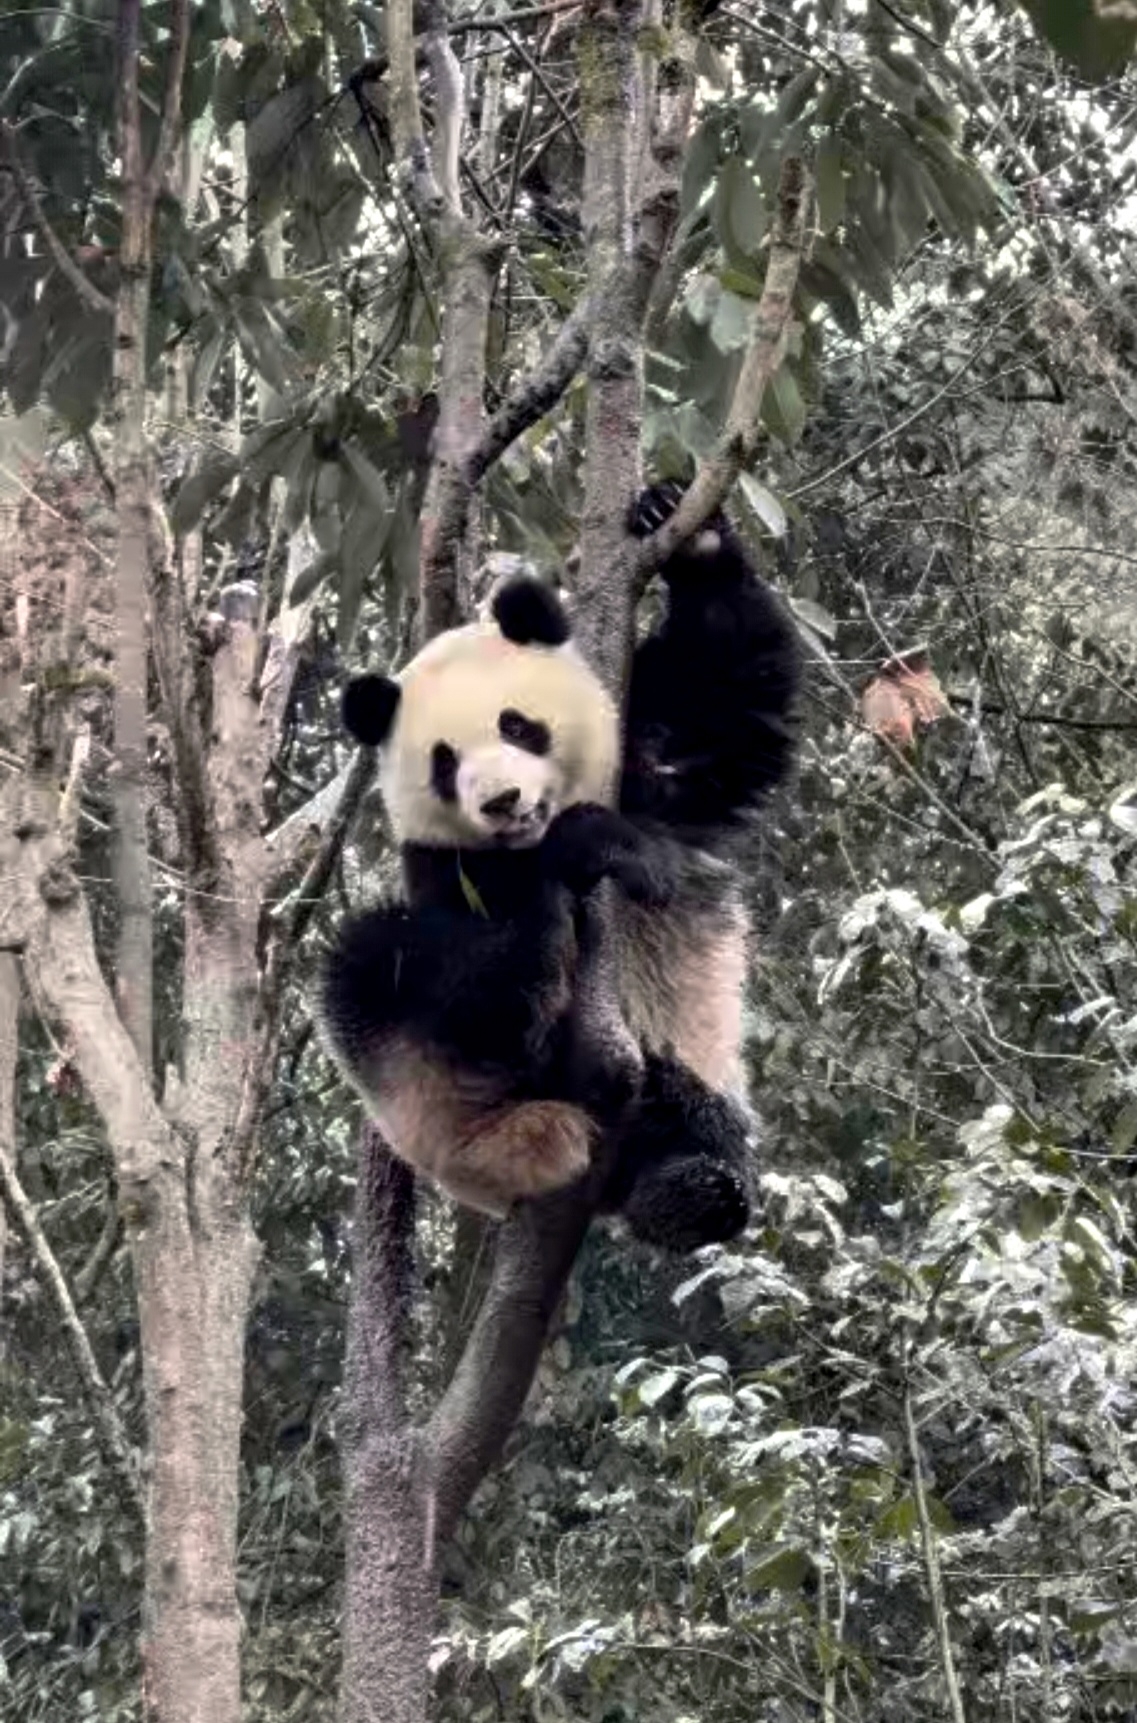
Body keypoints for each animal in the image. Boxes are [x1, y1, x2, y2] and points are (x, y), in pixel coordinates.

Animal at [320, 482, 801, 1254]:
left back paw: (687, 1190)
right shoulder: (448, 870)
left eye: (517, 725)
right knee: (373, 969)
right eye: (445, 762)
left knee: (693, 1133)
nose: (503, 801)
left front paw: (682, 527)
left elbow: (727, 695)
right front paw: (584, 851)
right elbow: (480, 990)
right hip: (453, 1119)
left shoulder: (652, 764)